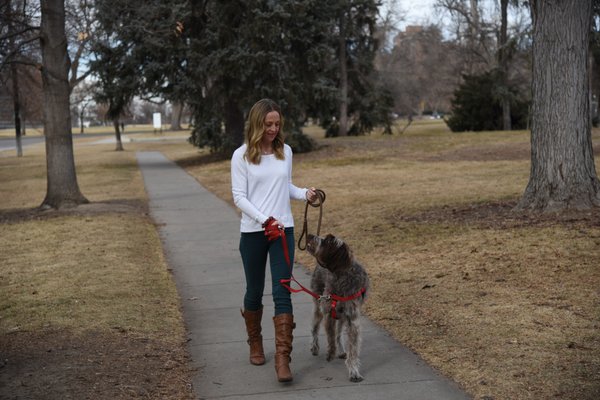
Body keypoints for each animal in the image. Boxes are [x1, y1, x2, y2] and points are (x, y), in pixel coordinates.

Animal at [308, 234, 368, 382]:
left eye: (328, 241)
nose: (310, 235)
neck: (342, 276)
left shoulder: (352, 321)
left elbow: (352, 349)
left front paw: (354, 371)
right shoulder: (328, 312)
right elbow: (330, 337)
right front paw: (331, 353)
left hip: (341, 316)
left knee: (339, 333)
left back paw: (340, 350)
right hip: (319, 306)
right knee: (314, 328)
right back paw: (314, 347)